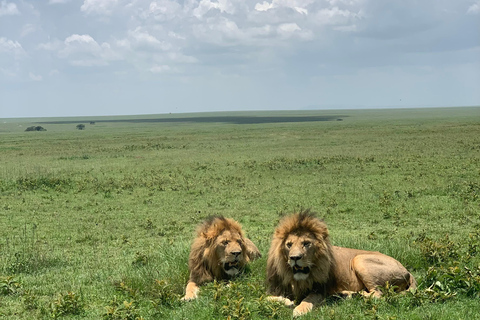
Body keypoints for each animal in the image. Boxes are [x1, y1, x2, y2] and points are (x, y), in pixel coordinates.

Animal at [266, 210, 416, 318]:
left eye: (306, 243)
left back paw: (349, 294)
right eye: (289, 245)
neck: (296, 279)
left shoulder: (320, 290)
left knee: (378, 294)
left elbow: (308, 299)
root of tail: (407, 271)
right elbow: (268, 298)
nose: (294, 257)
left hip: (359, 259)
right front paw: (287, 301)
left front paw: (299, 310)